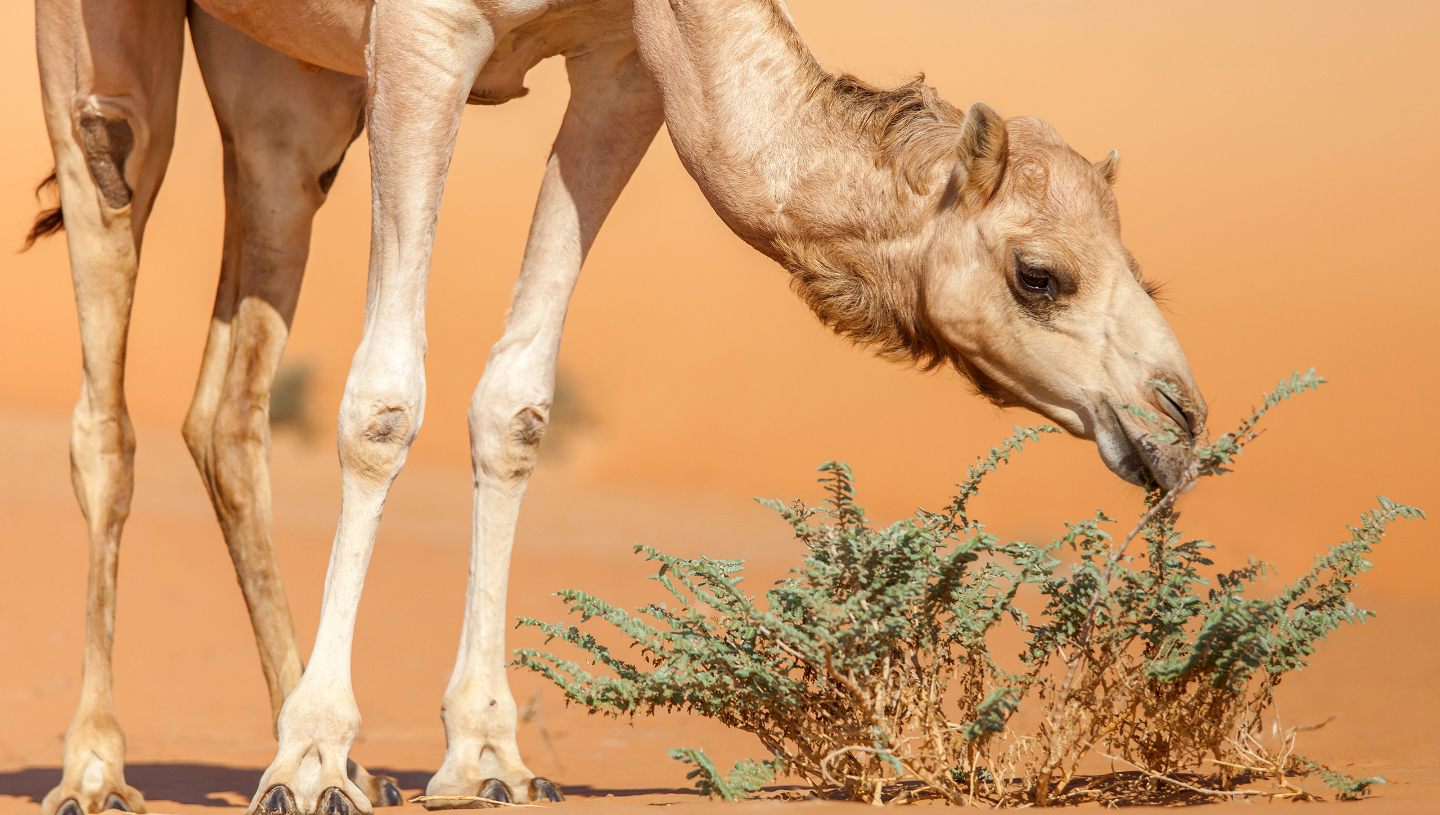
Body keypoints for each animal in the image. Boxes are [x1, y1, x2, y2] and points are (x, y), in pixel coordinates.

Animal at [28, 0, 1206, 814]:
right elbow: (382, 403)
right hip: (108, 77)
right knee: (106, 383)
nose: (1181, 421)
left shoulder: (623, 60)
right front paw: (311, 760)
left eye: (1139, 259)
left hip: (290, 88)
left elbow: (514, 405)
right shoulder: (424, 34)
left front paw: (485, 760)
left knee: (226, 406)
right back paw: (99, 770)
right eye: (1040, 274)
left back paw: (344, 763)